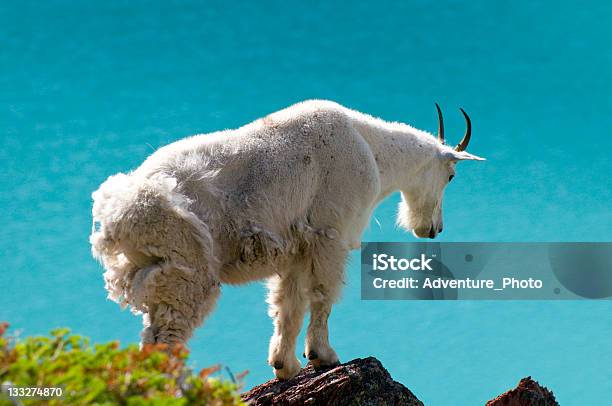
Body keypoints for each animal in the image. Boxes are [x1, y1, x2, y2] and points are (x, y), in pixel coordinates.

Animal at [89, 100, 482, 380]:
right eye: (450, 175)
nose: (433, 229)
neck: (371, 147)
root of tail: (118, 212)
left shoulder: (295, 249)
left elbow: (288, 306)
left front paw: (285, 366)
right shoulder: (330, 234)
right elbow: (322, 295)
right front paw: (323, 356)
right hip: (185, 264)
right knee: (166, 338)